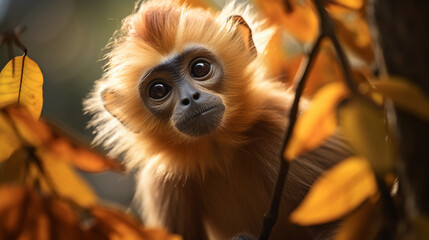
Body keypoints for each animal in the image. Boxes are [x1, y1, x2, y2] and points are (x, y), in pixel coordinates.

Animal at [83, 0, 352, 239]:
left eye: (200, 68)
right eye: (158, 90)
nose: (190, 98)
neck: (220, 151)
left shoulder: (284, 127)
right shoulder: (161, 181)